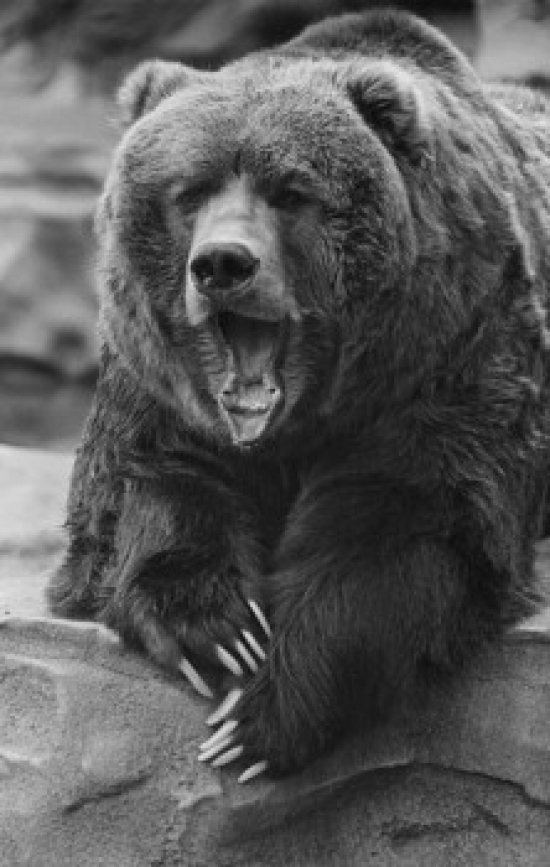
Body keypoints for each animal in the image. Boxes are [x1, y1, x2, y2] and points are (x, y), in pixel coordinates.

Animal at [49, 9, 550, 779]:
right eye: (189, 191)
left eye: (290, 192)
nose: (223, 263)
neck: (296, 423)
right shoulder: (156, 382)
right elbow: (150, 486)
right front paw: (217, 630)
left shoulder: (450, 354)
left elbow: (407, 529)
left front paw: (257, 719)